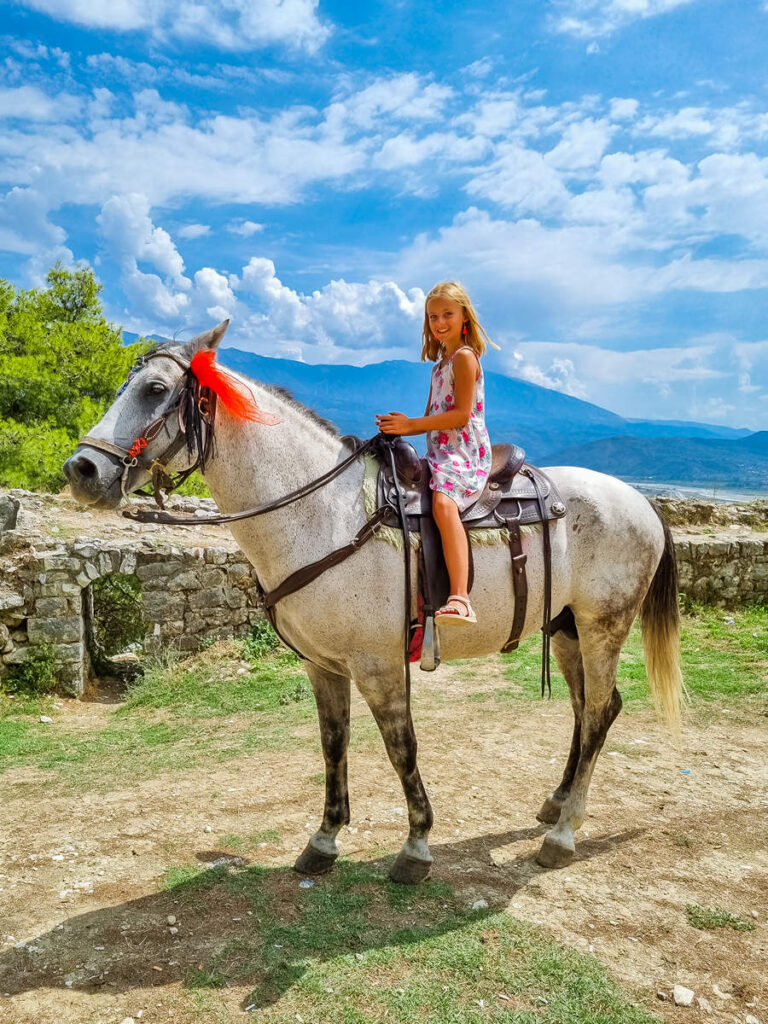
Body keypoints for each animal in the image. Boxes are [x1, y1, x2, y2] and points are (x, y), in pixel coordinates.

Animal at [63, 325, 684, 880]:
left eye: (156, 390)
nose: (81, 469)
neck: (322, 515)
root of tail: (642, 502)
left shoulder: (379, 665)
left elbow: (400, 746)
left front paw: (416, 847)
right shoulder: (323, 666)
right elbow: (333, 744)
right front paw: (324, 839)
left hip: (603, 626)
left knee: (598, 711)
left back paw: (563, 833)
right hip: (567, 627)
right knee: (589, 708)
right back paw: (557, 802)